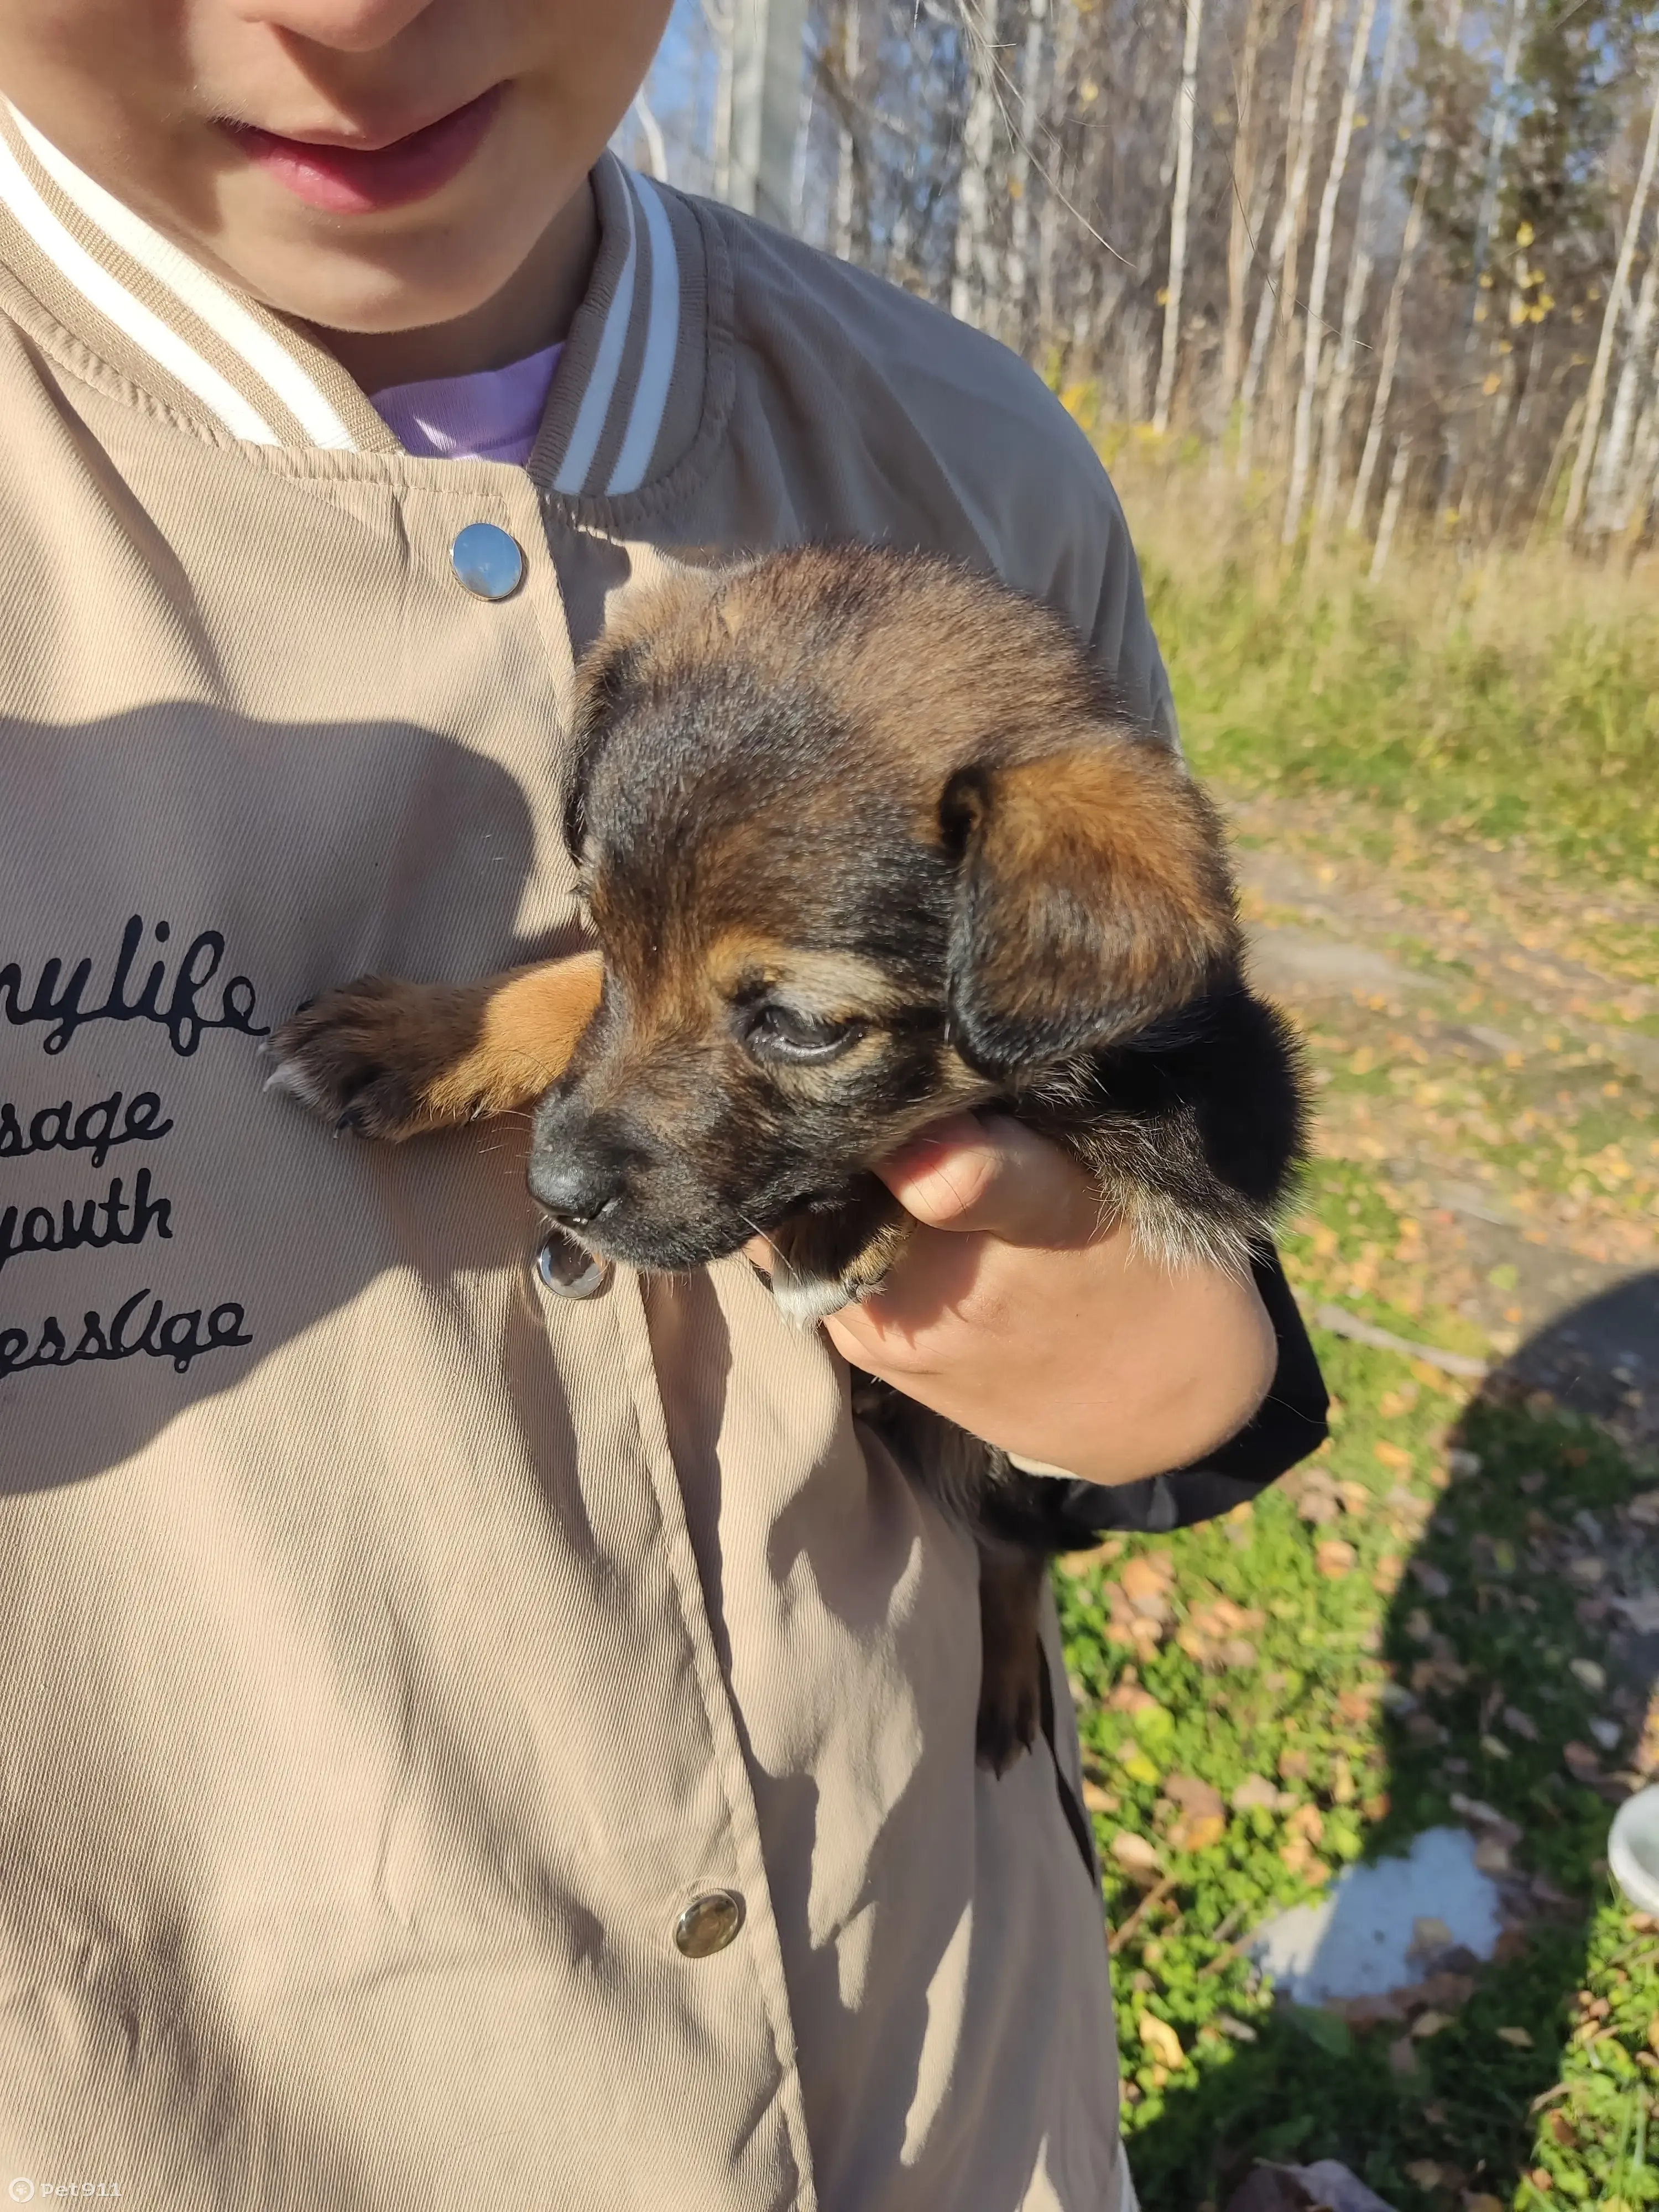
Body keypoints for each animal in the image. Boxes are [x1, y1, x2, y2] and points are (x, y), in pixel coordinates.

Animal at [273, 544, 1310, 1770]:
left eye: (805, 1027)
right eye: (609, 939)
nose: (554, 1190)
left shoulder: (1214, 1127)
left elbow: (1007, 1103)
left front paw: (837, 1222)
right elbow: (562, 992)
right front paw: (428, 1036)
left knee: (1016, 1552)